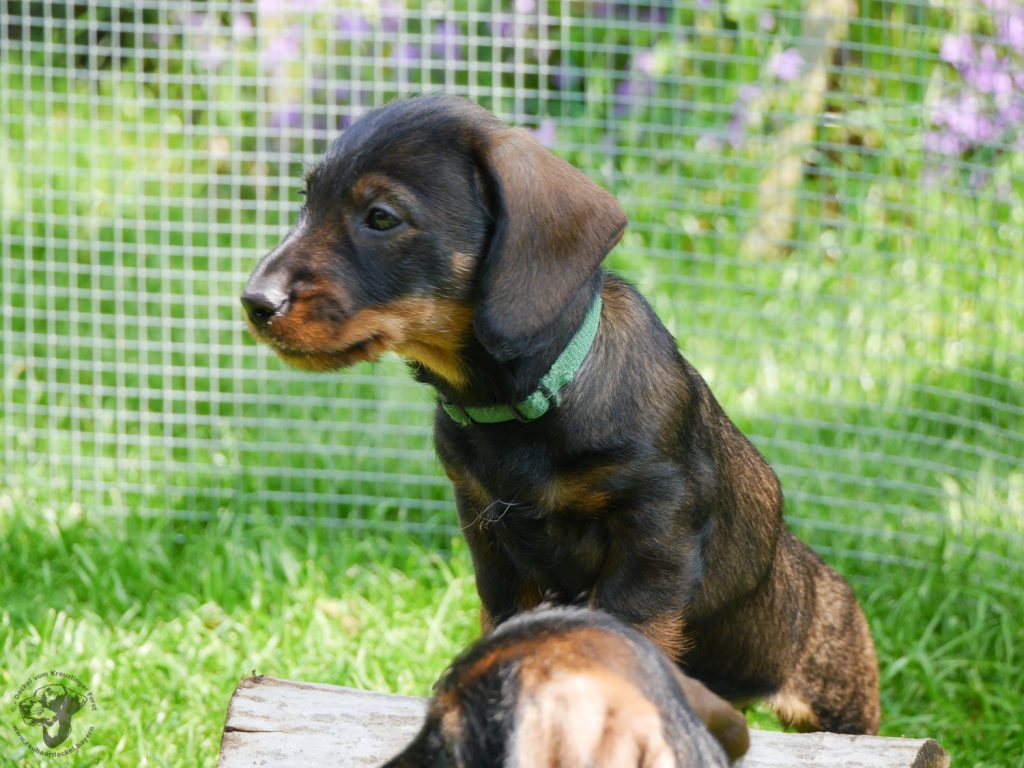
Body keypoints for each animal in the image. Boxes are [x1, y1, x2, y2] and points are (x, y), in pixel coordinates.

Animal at [239, 94, 880, 733]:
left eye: (380, 217)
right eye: (307, 200)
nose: (253, 302)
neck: (522, 408)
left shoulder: (655, 531)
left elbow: (630, 627)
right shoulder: (487, 529)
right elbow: (504, 620)